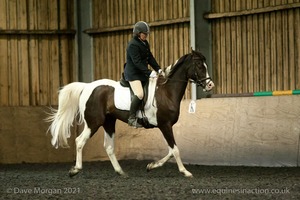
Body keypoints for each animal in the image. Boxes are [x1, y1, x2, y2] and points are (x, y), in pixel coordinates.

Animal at [47, 49, 213, 177]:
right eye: (199, 65)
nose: (210, 85)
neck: (167, 92)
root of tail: (87, 86)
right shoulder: (165, 125)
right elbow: (175, 150)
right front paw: (185, 172)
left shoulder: (165, 126)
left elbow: (171, 150)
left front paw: (151, 166)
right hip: (94, 122)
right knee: (80, 141)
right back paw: (75, 170)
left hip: (109, 122)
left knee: (108, 147)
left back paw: (121, 172)